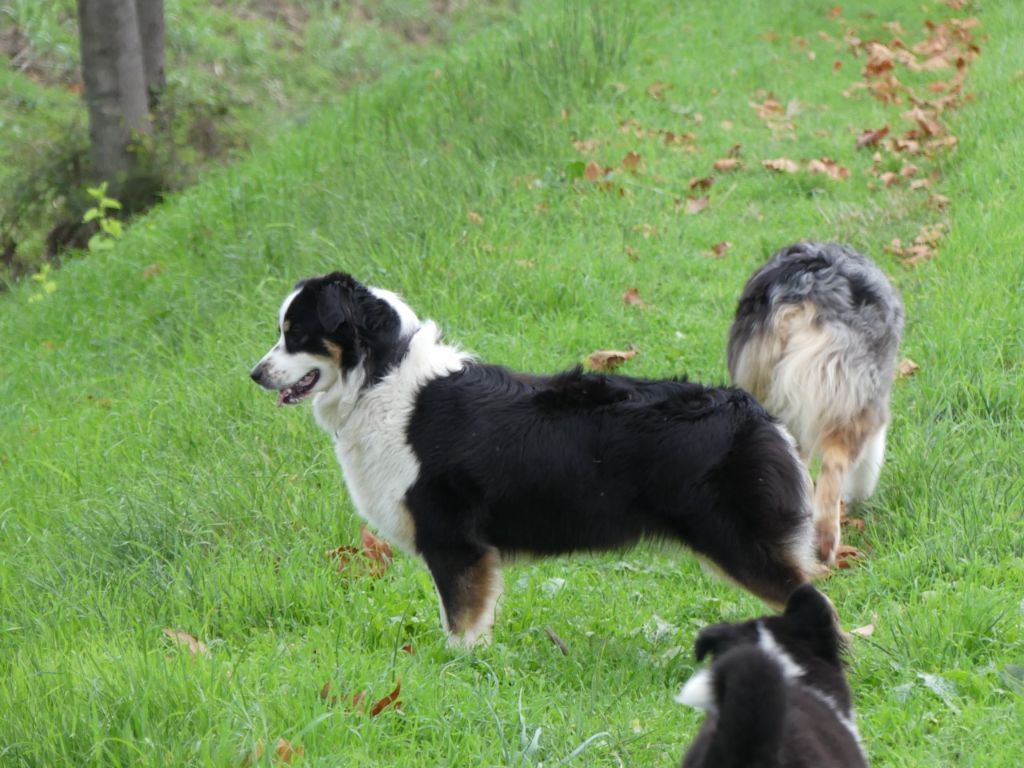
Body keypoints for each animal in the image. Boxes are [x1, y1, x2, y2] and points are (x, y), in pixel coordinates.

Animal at [251, 274, 819, 647]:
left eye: (295, 333)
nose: (255, 374)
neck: (381, 377)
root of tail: (758, 414)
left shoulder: (454, 542)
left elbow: (461, 622)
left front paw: (457, 671)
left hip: (740, 541)